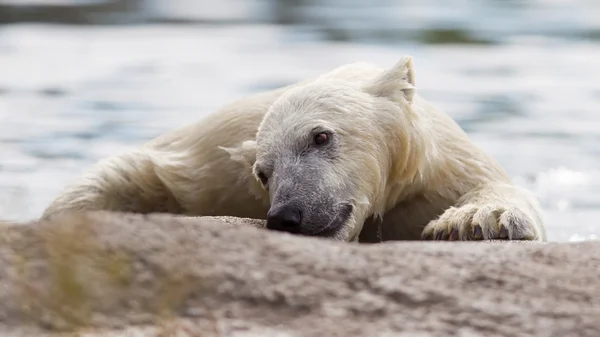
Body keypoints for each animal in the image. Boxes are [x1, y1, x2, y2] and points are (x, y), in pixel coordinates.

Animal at [42, 57, 548, 242]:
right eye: (262, 173)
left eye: (320, 136)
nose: (288, 215)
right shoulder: (207, 172)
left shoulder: (444, 169)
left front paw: (476, 222)